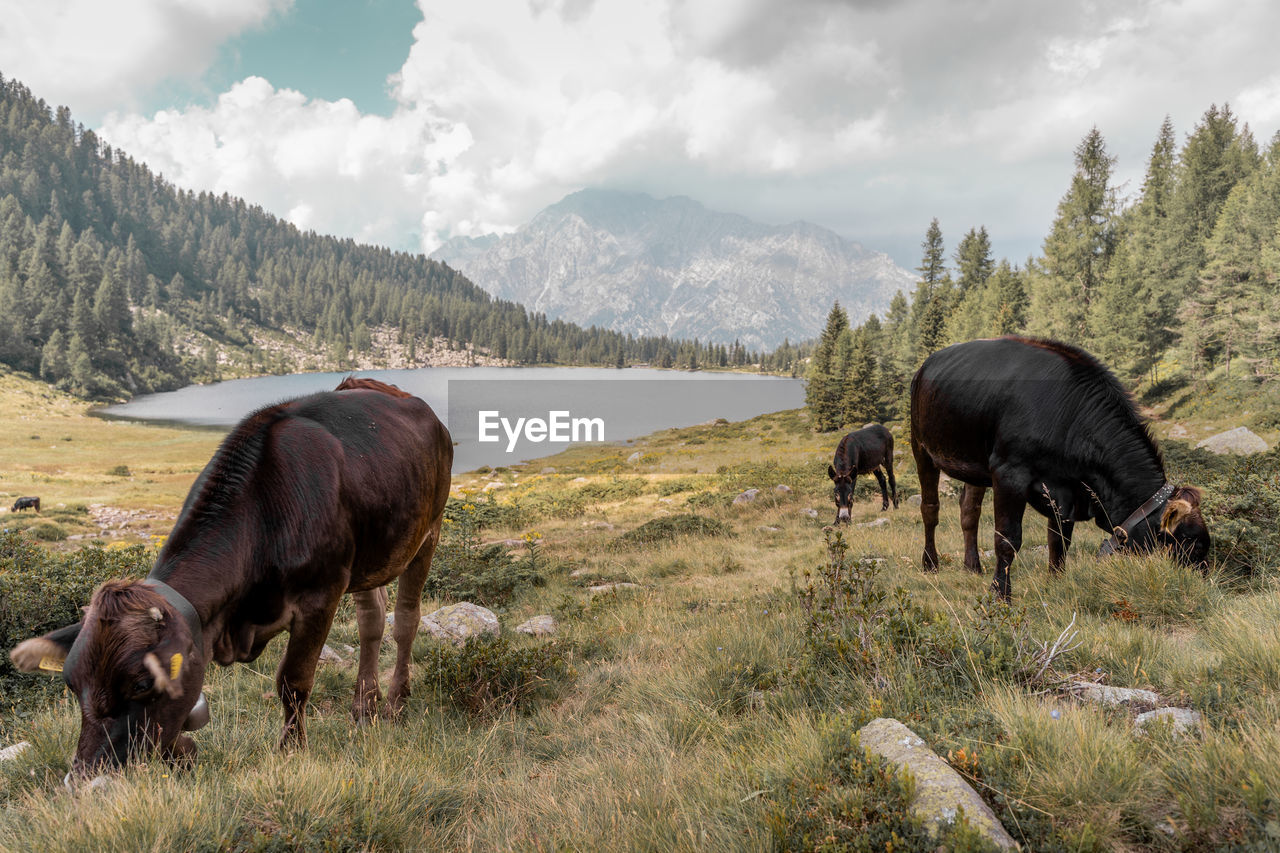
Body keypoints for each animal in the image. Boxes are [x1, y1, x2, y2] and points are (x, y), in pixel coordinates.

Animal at [7, 376, 450, 773]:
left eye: (141, 685)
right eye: (71, 683)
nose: (84, 778)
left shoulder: (321, 595)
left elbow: (293, 681)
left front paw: (291, 751)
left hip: (428, 532)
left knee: (405, 621)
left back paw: (395, 704)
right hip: (371, 556)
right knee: (371, 620)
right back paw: (363, 706)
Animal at [911, 333, 1208, 596]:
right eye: (1190, 542)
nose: (1199, 585)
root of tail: (926, 365)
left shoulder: (1065, 490)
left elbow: (1059, 539)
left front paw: (1056, 581)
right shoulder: (1009, 473)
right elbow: (1007, 539)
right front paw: (1000, 594)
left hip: (975, 465)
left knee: (969, 512)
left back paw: (972, 566)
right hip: (921, 447)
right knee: (930, 509)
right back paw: (930, 563)